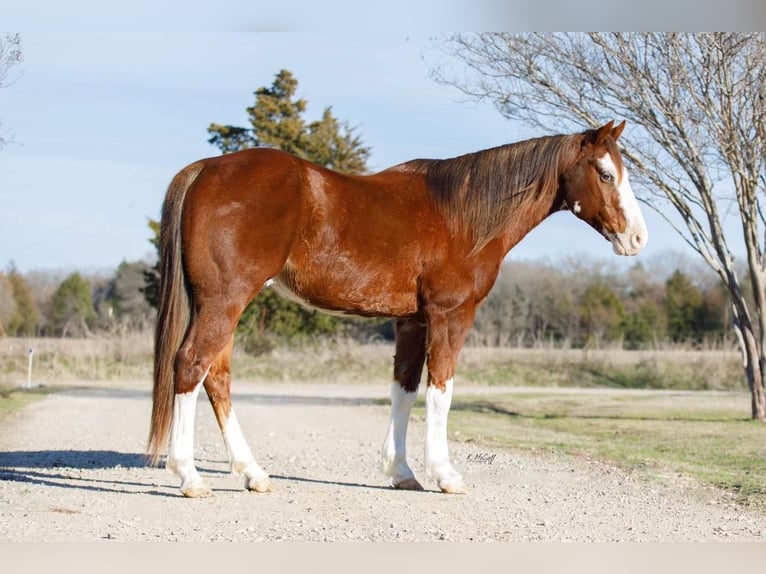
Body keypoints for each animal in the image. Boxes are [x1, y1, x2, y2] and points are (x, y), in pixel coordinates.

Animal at [148, 121, 648, 500]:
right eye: (606, 174)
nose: (638, 238)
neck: (462, 216)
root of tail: (205, 169)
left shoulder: (412, 321)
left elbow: (404, 391)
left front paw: (402, 473)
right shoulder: (450, 316)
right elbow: (441, 390)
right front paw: (446, 475)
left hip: (222, 304)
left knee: (216, 376)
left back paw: (253, 474)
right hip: (224, 301)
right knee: (190, 365)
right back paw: (190, 476)